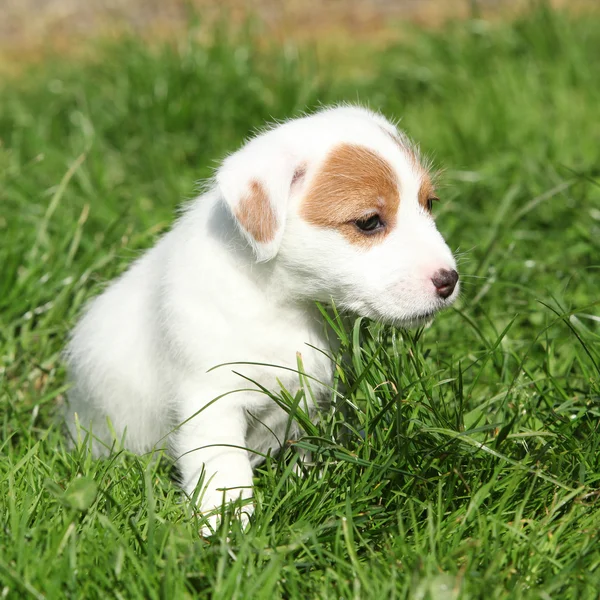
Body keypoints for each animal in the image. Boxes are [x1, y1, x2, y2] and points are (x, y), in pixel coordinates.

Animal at [64, 105, 460, 532]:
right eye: (369, 221)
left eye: (429, 204)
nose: (449, 280)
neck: (284, 305)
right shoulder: (213, 401)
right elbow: (224, 469)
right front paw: (227, 525)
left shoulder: (317, 400)